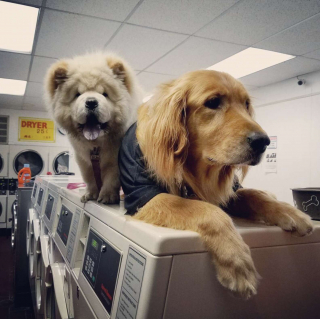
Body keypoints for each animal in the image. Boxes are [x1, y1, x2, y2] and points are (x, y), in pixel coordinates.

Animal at [45, 52, 142, 202]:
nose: (91, 102)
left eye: (105, 94)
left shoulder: (115, 160)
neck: (96, 145)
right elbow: (90, 178)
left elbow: (111, 178)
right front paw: (90, 194)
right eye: (77, 94)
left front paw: (107, 196)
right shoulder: (84, 160)